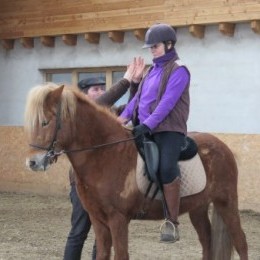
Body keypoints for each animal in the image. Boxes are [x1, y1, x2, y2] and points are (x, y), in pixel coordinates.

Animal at [24, 84, 248, 260]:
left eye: (45, 122)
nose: (32, 163)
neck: (105, 154)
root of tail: (223, 146)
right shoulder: (98, 220)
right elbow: (102, 254)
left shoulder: (118, 219)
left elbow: (121, 255)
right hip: (198, 207)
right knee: (207, 241)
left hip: (226, 202)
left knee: (241, 242)